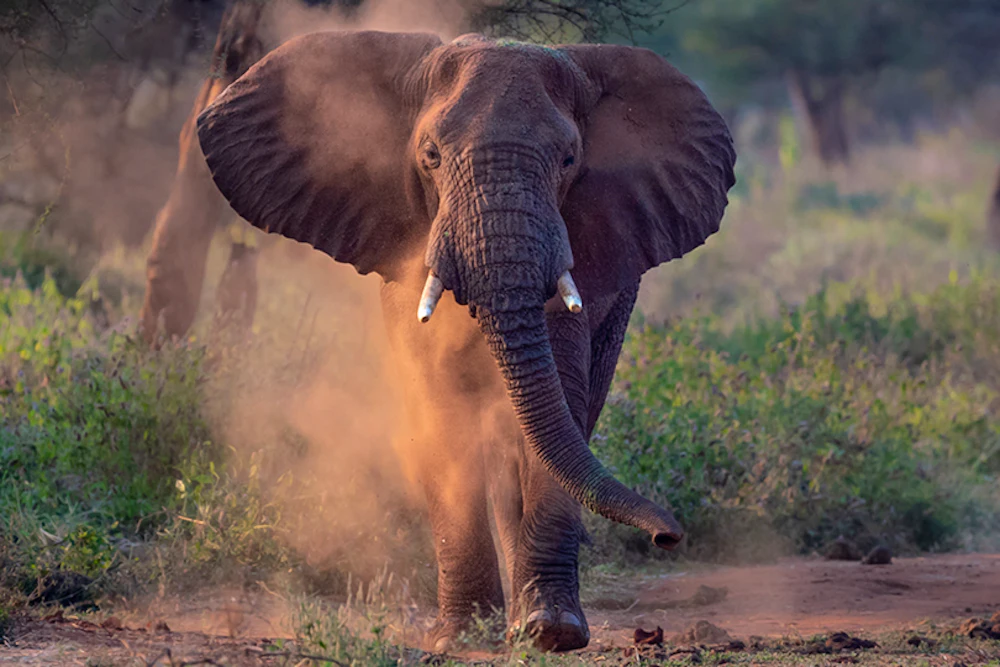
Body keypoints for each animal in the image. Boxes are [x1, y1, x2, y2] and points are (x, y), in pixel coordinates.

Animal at [194, 30, 736, 652]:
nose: (669, 536)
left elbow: (560, 403)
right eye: (430, 155)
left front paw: (551, 632)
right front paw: (460, 637)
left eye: (569, 159)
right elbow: (438, 411)